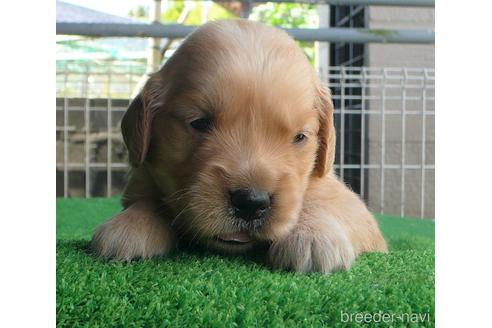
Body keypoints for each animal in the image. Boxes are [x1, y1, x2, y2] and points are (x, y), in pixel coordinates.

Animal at [90, 19, 386, 272]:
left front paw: (312, 236)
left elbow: (325, 205)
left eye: (299, 137)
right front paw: (130, 226)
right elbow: (147, 202)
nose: (251, 203)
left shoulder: (344, 199)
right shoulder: (142, 182)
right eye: (199, 123)